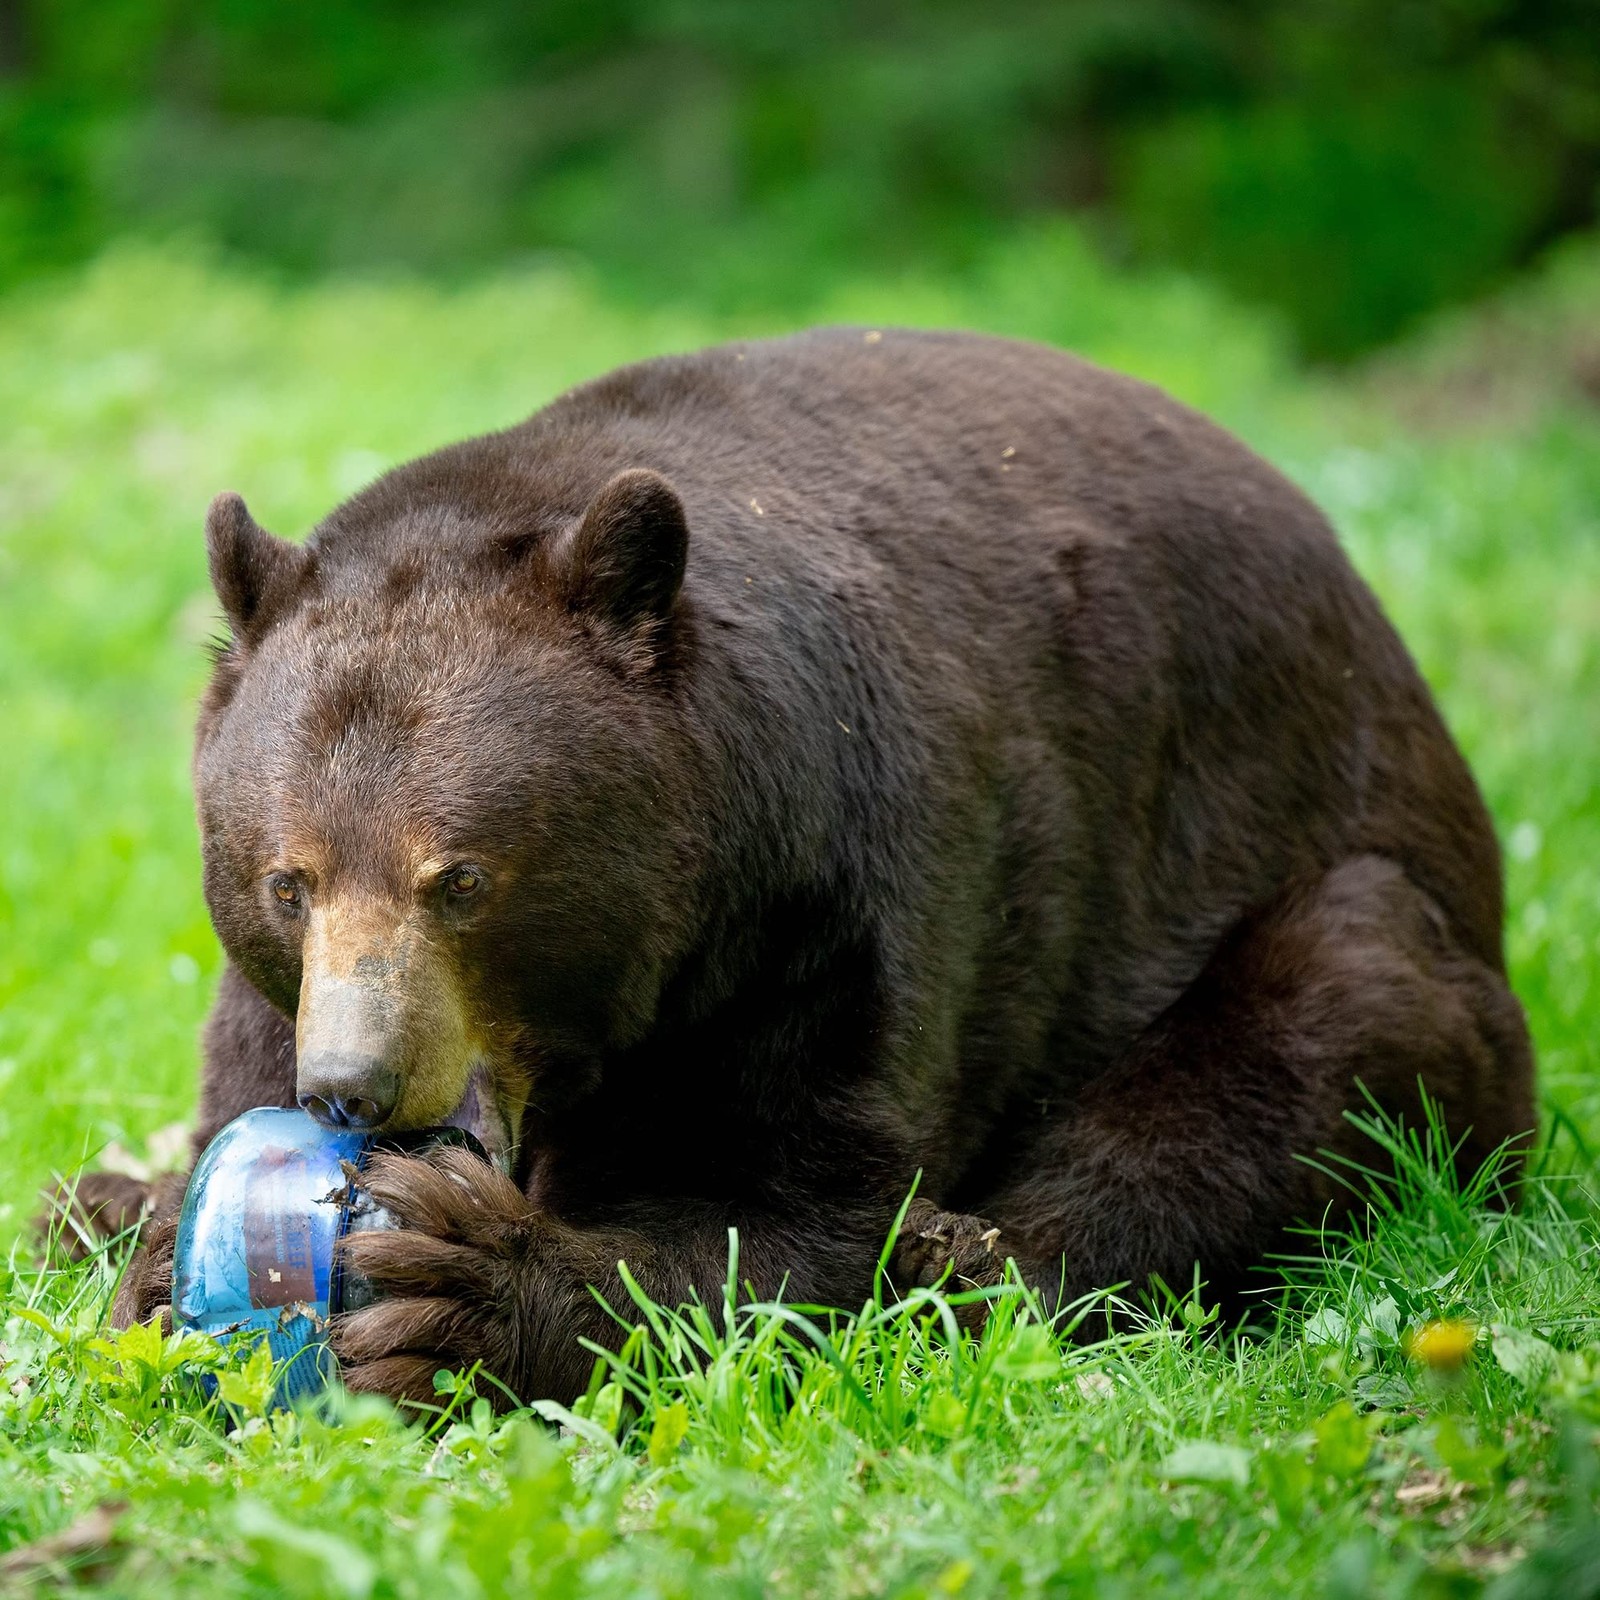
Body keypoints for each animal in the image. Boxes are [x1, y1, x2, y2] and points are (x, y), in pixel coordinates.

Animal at [65, 327, 1532, 1405]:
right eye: (288, 880)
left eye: (462, 878)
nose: (352, 1087)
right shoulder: (278, 987)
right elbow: (227, 1086)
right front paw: (149, 1235)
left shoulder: (838, 898)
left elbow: (800, 1207)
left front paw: (460, 1288)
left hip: (1318, 870)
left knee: (1310, 1026)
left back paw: (976, 1254)